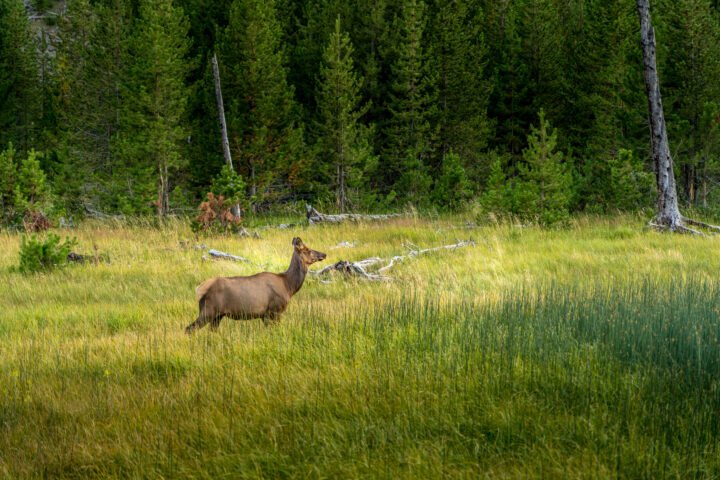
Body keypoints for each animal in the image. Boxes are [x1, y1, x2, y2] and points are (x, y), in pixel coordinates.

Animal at [185, 237, 327, 333]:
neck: (289, 286)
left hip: (217, 316)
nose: (324, 254)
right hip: (208, 311)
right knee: (189, 329)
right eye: (307, 250)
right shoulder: (274, 310)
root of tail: (199, 290)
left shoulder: (265, 315)